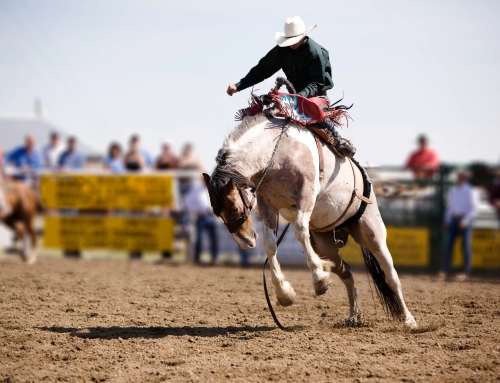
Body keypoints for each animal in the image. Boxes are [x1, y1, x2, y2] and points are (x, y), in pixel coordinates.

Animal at [203, 85, 418, 330]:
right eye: (217, 213)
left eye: (235, 210)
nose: (245, 242)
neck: (276, 151)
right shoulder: (267, 204)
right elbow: (270, 245)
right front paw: (284, 293)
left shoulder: (306, 192)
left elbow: (299, 230)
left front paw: (319, 278)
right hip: (326, 244)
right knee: (346, 271)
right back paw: (354, 315)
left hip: (372, 233)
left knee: (391, 276)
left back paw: (409, 320)